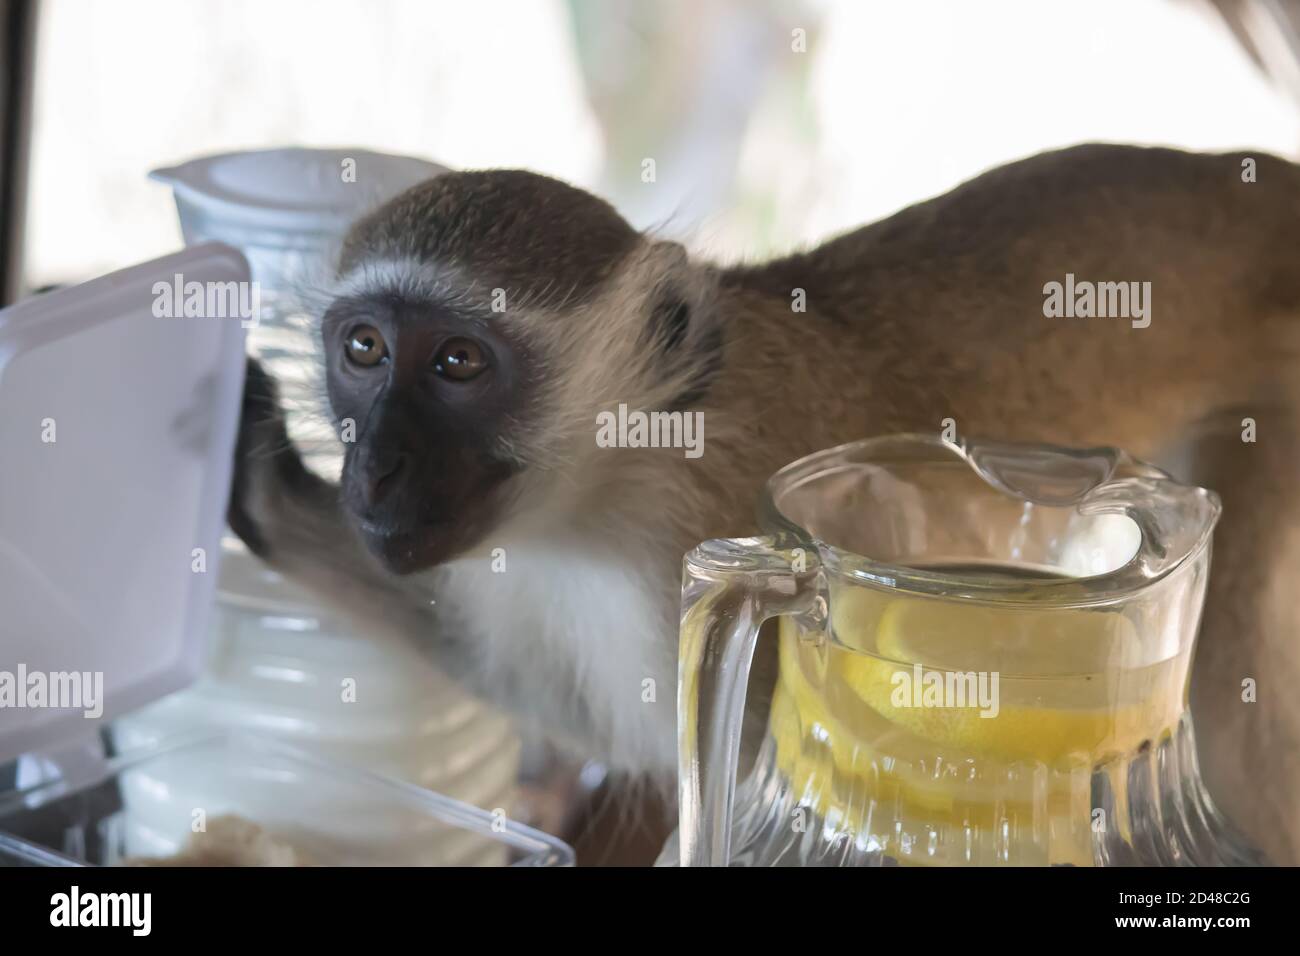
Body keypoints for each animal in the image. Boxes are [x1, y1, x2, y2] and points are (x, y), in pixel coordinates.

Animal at [228, 143, 1300, 868]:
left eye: (457, 362)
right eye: (363, 350)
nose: (374, 471)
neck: (618, 477)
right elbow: (553, 698)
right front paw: (256, 474)